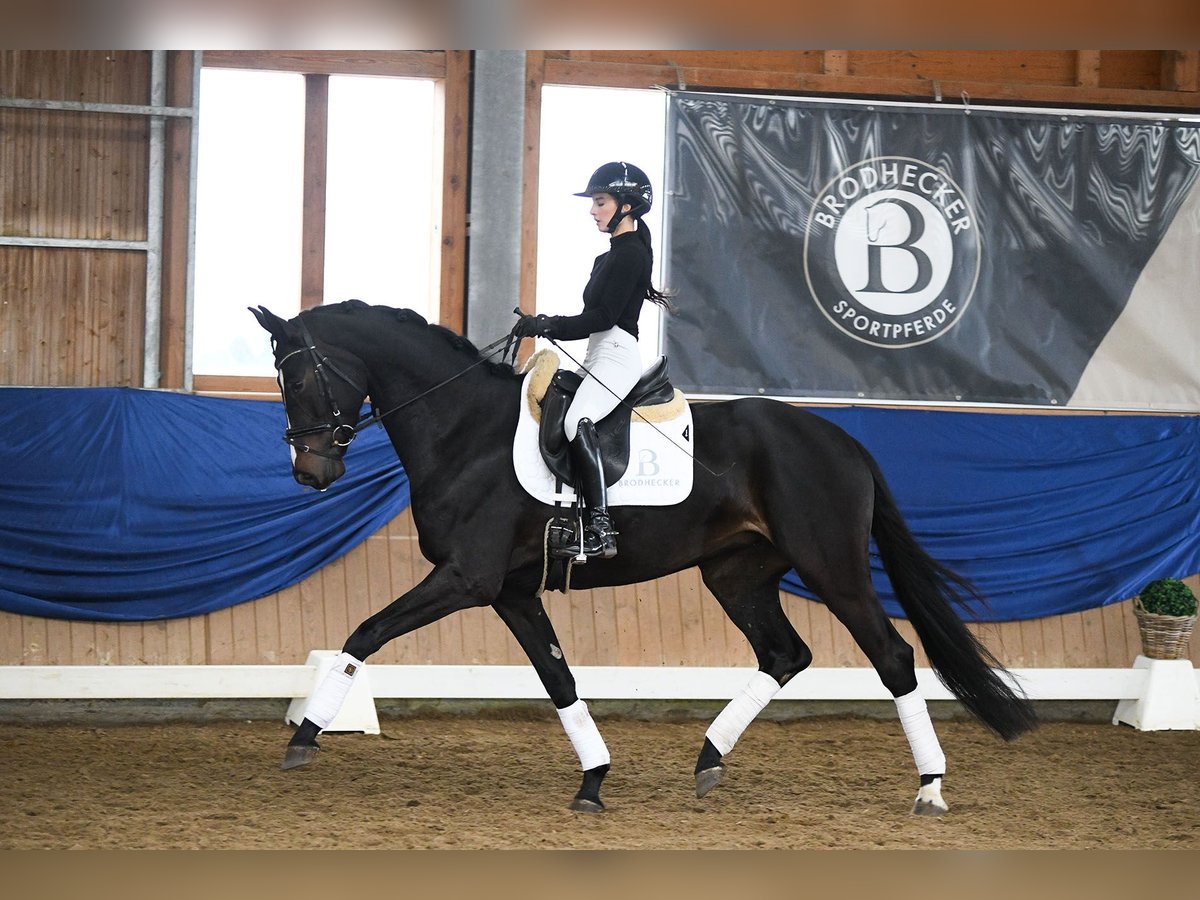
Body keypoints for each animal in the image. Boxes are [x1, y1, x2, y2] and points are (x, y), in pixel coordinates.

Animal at [250, 301, 1032, 816]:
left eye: (299, 379)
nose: (310, 472)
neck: (463, 431)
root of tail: (842, 441)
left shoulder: (466, 579)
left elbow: (365, 633)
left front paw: (308, 735)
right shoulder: (510, 591)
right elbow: (558, 680)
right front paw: (594, 779)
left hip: (832, 570)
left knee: (893, 658)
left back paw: (930, 787)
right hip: (736, 573)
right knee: (784, 654)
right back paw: (709, 759)